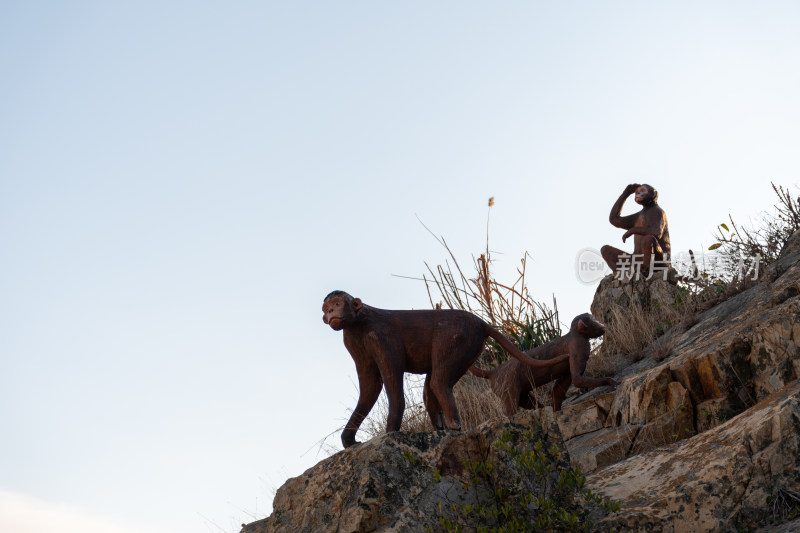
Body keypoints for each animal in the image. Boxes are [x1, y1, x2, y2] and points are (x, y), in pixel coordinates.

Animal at [320, 288, 568, 446]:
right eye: (328, 306)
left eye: (337, 303)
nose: (330, 312)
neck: (358, 321)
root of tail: (480, 322)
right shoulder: (353, 341)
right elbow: (370, 386)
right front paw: (349, 440)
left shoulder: (379, 338)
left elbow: (390, 381)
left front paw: (391, 432)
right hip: (470, 347)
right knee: (432, 384)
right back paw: (441, 427)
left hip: (458, 336)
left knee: (438, 380)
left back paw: (453, 426)